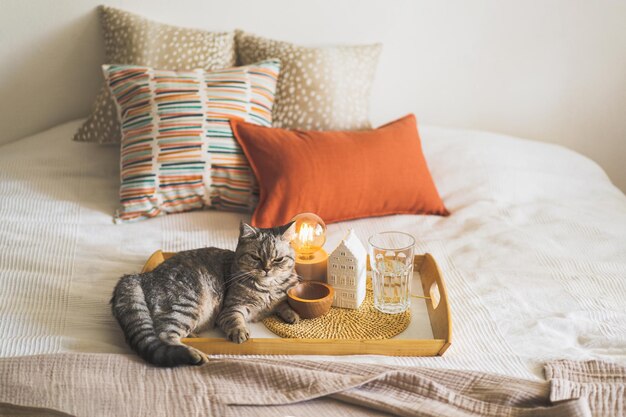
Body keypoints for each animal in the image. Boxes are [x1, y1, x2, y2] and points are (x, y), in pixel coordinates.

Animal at [110, 219, 300, 366]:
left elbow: (283, 303)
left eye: (278, 259)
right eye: (255, 257)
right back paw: (195, 354)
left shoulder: (277, 300)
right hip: (187, 305)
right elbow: (236, 320)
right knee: (165, 335)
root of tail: (142, 275)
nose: (267, 269)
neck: (267, 288)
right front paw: (240, 332)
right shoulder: (231, 308)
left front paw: (293, 315)